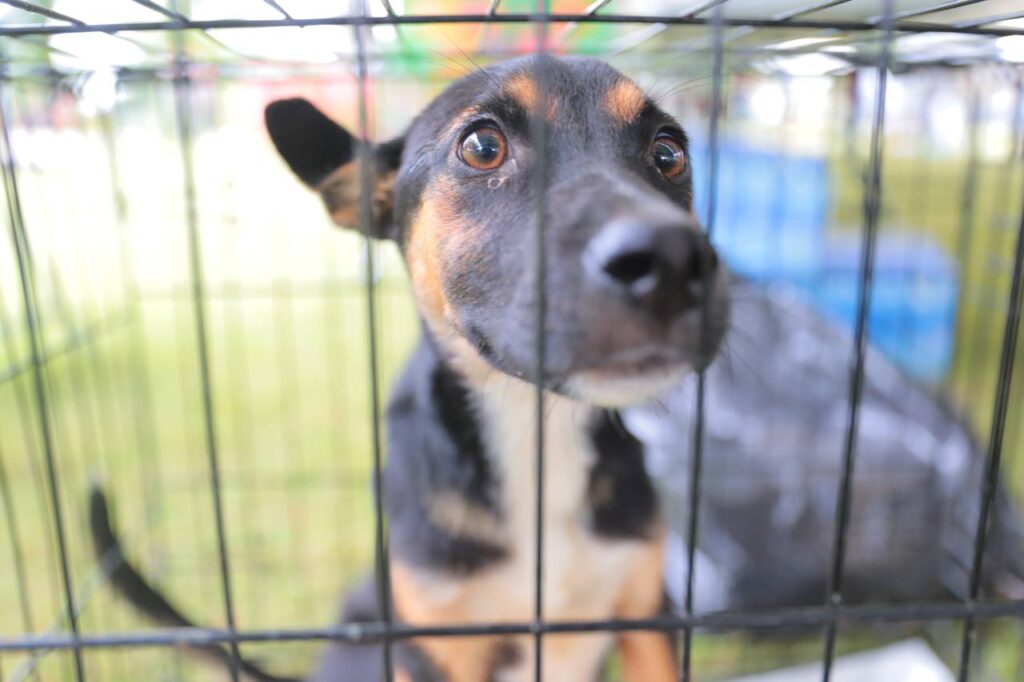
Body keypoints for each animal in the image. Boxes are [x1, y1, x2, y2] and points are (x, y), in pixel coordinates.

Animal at [88, 54, 729, 679]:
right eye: (482, 146)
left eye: (668, 154)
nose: (674, 262)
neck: (533, 433)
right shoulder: (435, 645)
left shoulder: (648, 614)